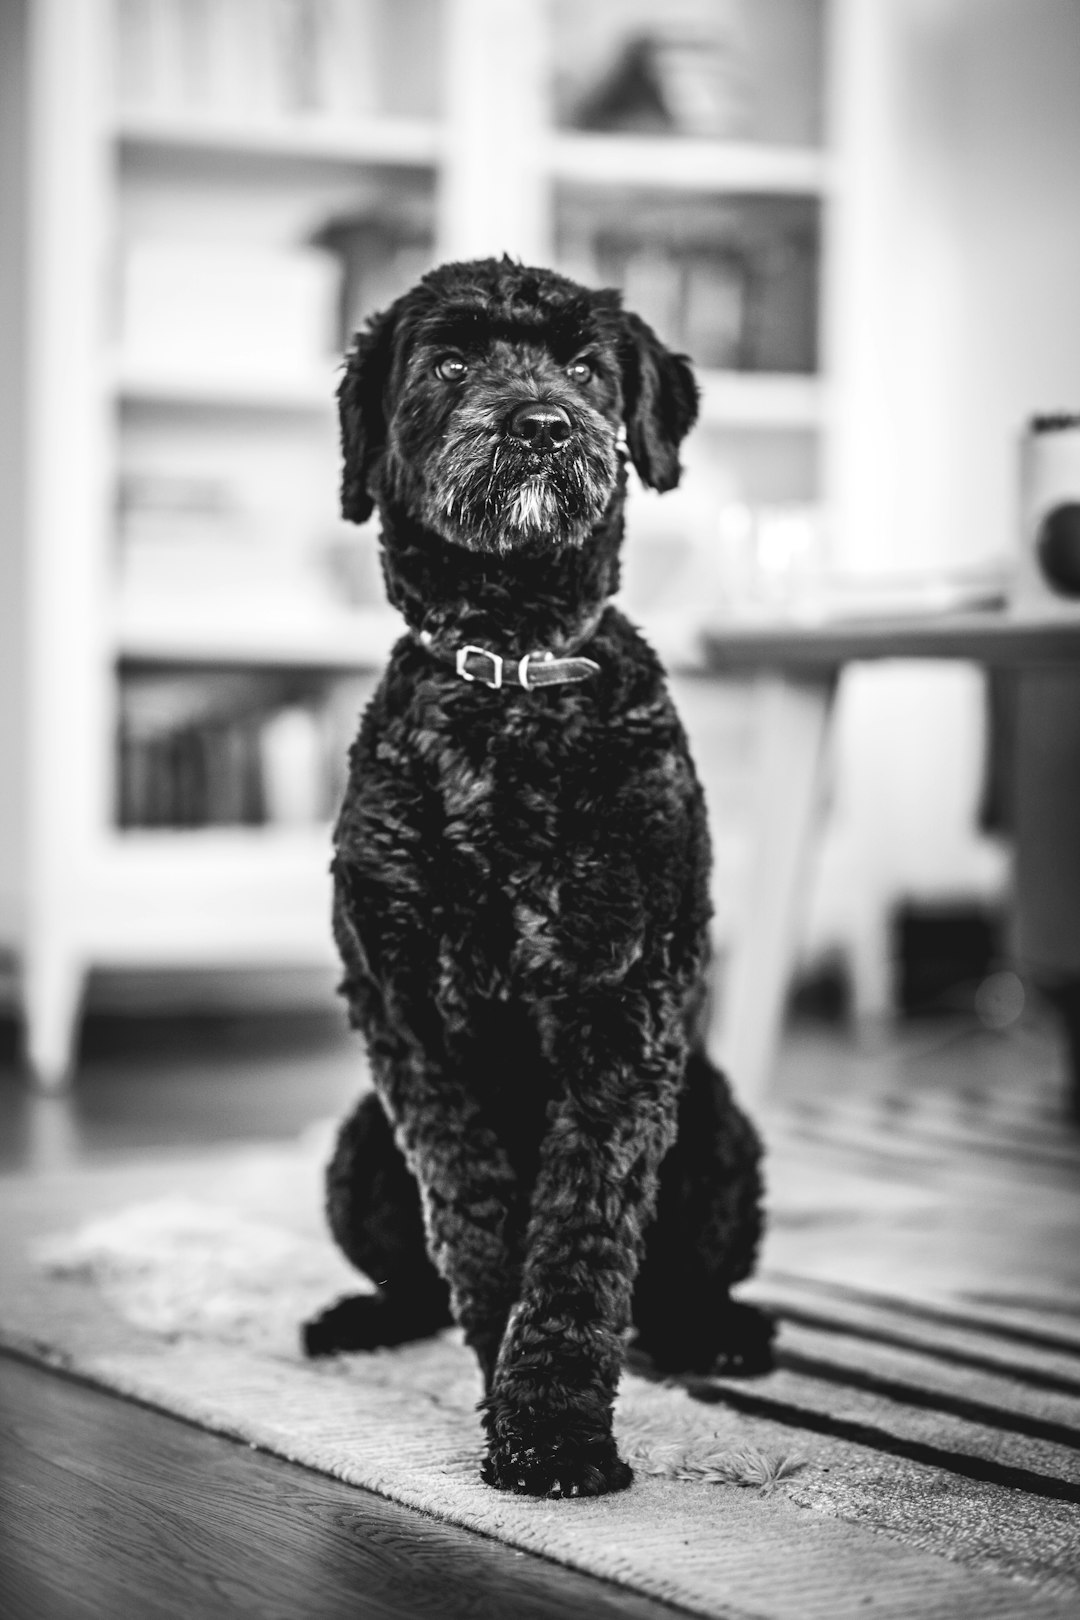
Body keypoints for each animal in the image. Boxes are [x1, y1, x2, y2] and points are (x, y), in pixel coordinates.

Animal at [304, 259, 773, 1496]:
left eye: (584, 366)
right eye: (450, 360)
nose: (543, 426)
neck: (511, 686)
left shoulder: (622, 1006)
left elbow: (580, 1237)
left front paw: (555, 1431)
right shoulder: (409, 1020)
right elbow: (475, 1222)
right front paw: (509, 1398)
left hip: (719, 1135)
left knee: (683, 1282)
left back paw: (720, 1334)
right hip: (357, 1151)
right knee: (410, 1278)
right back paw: (356, 1321)